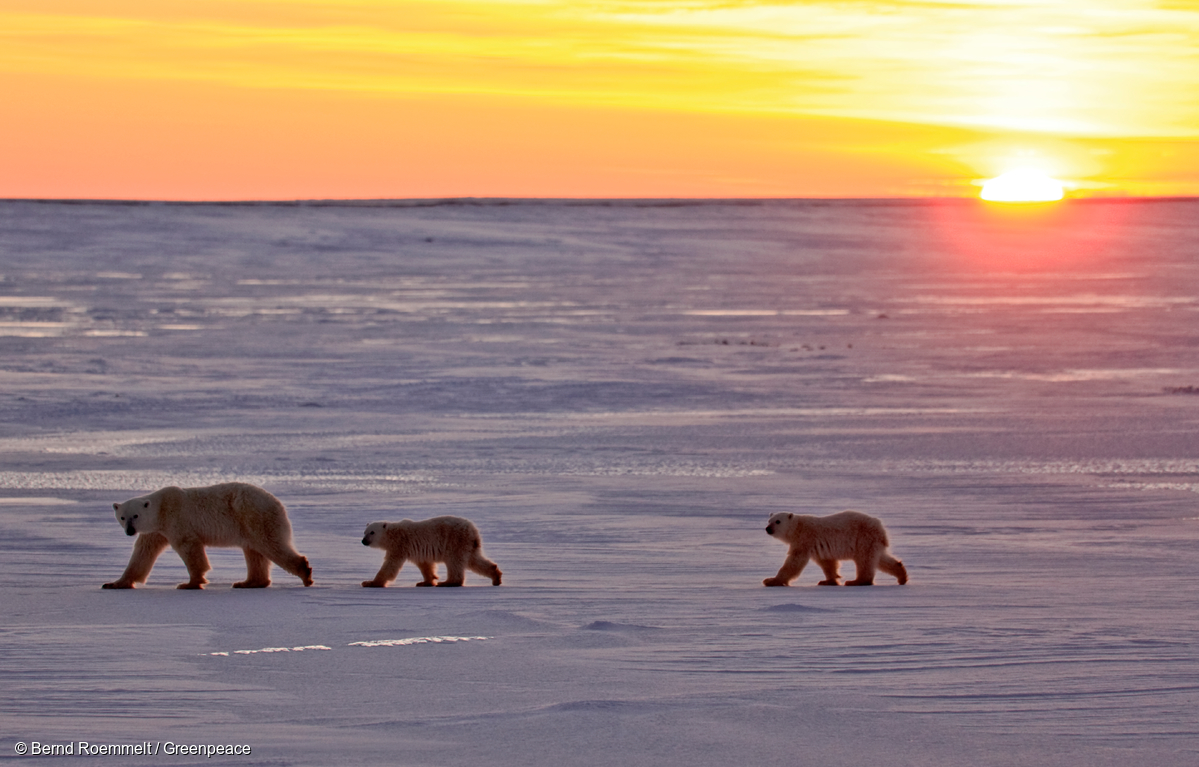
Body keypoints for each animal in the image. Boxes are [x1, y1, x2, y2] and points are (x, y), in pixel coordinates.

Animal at [102, 482, 314, 590]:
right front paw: (115, 583)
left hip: (254, 515)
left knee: (270, 544)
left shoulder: (177, 519)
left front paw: (190, 583)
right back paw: (248, 582)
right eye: (123, 517)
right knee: (254, 552)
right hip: (250, 523)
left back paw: (305, 572)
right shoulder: (156, 530)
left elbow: (189, 547)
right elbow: (142, 553)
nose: (130, 530)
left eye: (136, 515)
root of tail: (278, 503)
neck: (161, 508)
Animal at [361, 516, 502, 587]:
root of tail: (473, 530)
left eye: (372, 532)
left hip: (455, 540)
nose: (363, 541)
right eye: (364, 532)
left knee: (454, 562)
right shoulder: (416, 549)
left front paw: (370, 582)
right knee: (474, 560)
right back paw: (496, 576)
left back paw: (448, 582)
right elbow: (425, 565)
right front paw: (426, 581)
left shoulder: (400, 545)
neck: (393, 534)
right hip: (468, 544)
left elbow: (390, 566)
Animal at [763, 510, 907, 587]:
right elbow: (827, 563)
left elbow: (794, 562)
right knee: (880, 559)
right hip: (873, 542)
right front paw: (828, 581)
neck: (798, 528)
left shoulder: (805, 540)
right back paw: (901, 576)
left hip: (863, 537)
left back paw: (856, 581)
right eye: (769, 520)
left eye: (778, 521)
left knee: (864, 560)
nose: (768, 529)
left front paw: (771, 580)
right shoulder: (817, 546)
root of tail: (881, 527)